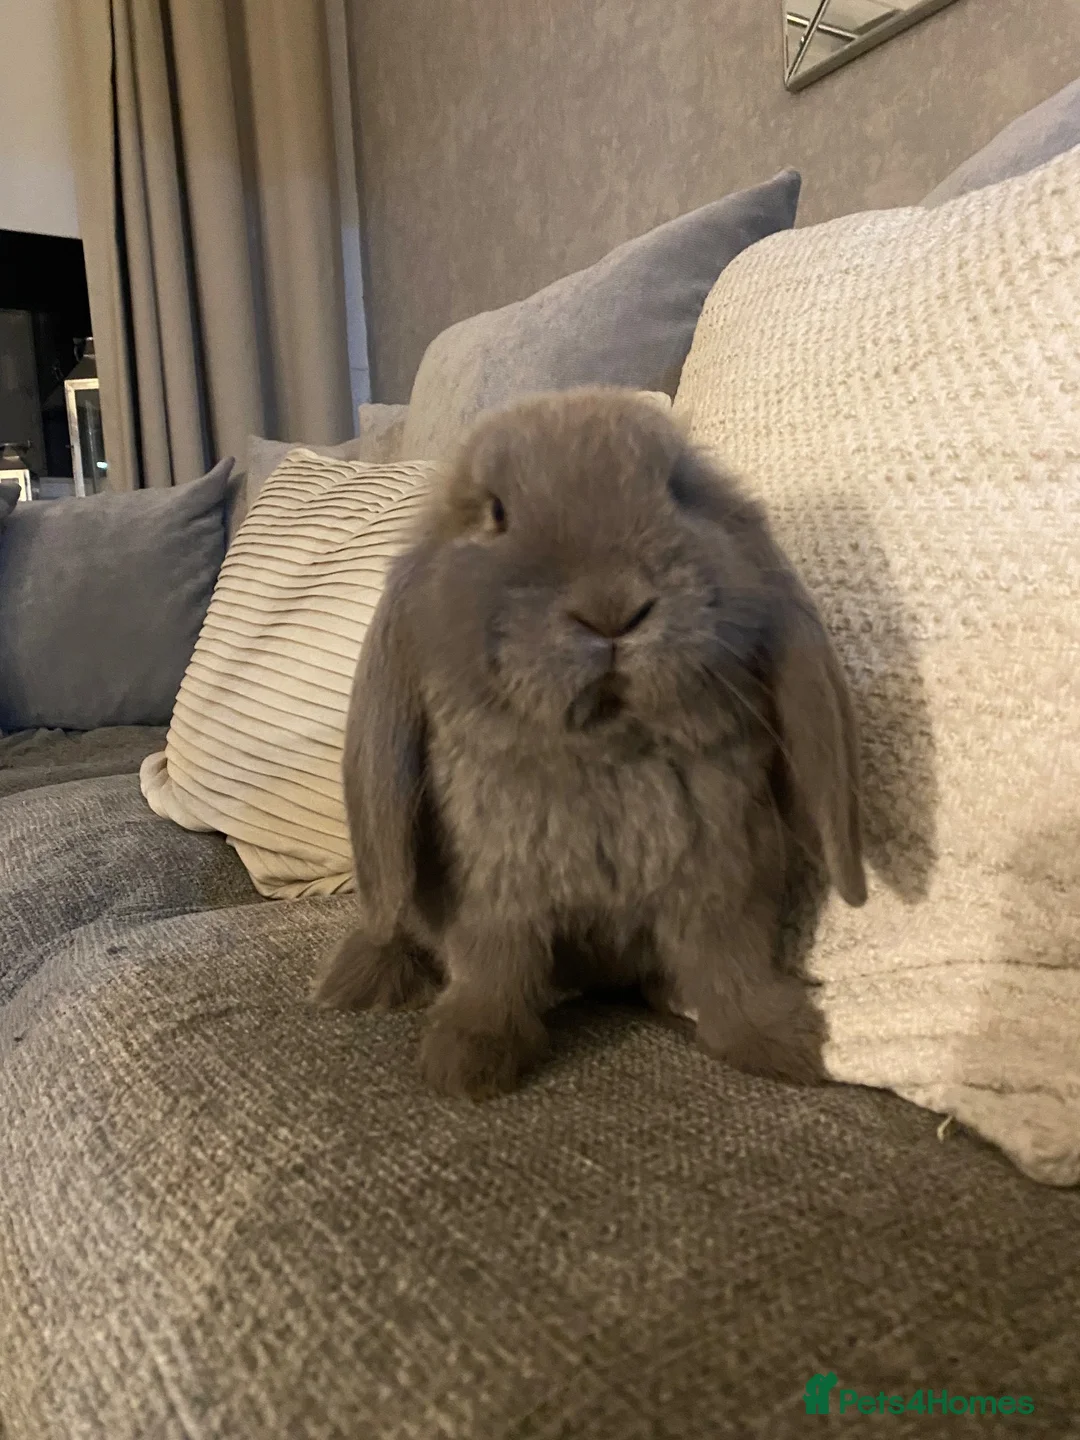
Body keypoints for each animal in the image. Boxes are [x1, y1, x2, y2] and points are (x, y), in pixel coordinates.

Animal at [313, 387, 867, 1100]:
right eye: (494, 513)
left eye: (679, 489)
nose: (612, 609)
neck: (607, 752)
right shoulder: (495, 901)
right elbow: (494, 972)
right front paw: (468, 1062)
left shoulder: (723, 888)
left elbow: (729, 968)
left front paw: (781, 1046)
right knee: (395, 926)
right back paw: (359, 981)